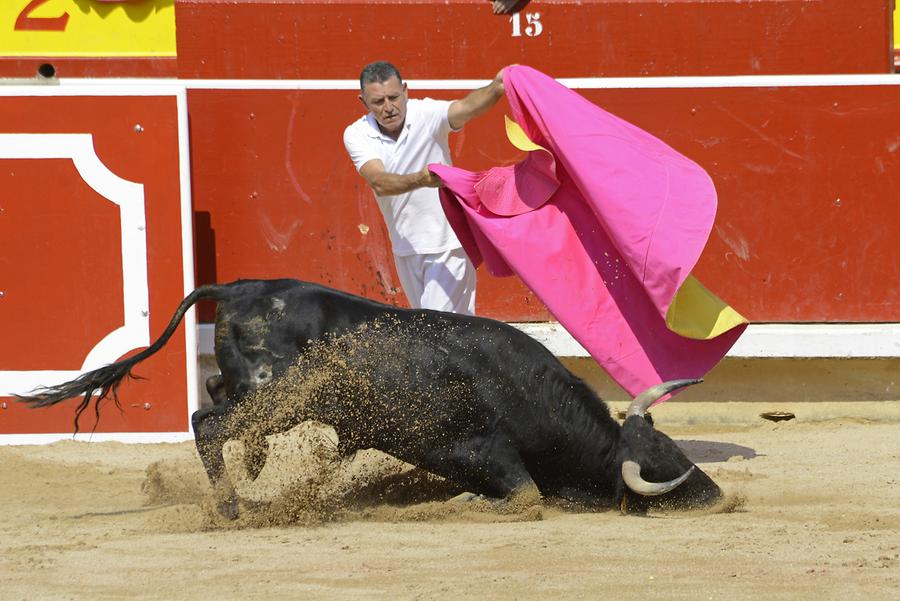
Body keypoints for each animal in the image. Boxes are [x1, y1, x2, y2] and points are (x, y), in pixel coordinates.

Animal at [19, 278, 724, 512]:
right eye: (662, 467)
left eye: (670, 445)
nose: (720, 497)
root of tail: (243, 285)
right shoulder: (485, 451)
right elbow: (523, 496)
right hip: (276, 396)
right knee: (207, 421)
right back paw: (232, 507)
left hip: (257, 391)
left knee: (218, 402)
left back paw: (253, 470)